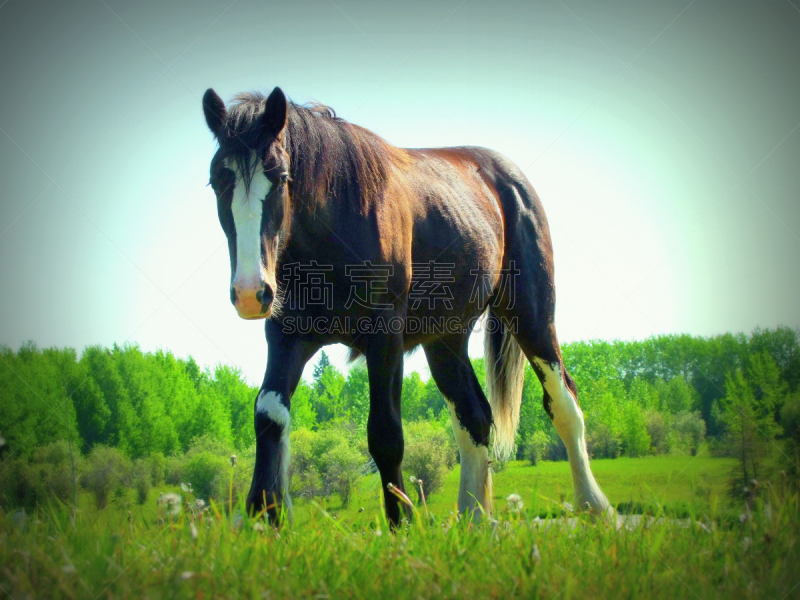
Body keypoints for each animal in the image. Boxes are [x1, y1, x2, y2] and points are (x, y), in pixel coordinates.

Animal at [203, 84, 608, 524]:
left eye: (279, 178)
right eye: (216, 180)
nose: (250, 291)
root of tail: (509, 177)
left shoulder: (385, 337)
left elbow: (385, 434)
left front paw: (402, 523)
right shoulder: (286, 335)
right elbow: (268, 417)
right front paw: (264, 517)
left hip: (531, 314)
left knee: (564, 404)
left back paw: (594, 506)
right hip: (445, 339)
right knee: (475, 418)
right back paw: (475, 520)